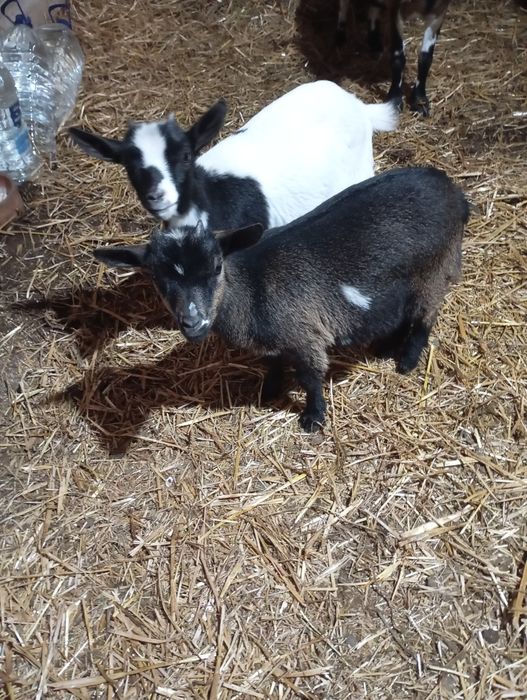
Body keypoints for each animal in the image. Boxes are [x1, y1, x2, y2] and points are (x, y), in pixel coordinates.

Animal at [92, 167, 469, 432]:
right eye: (157, 278)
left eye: (217, 266)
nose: (193, 320)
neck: (252, 291)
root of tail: (452, 190)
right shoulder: (276, 340)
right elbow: (271, 361)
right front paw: (269, 390)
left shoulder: (305, 335)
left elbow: (311, 378)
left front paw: (313, 418)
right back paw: (387, 346)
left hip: (435, 269)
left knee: (425, 317)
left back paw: (407, 360)